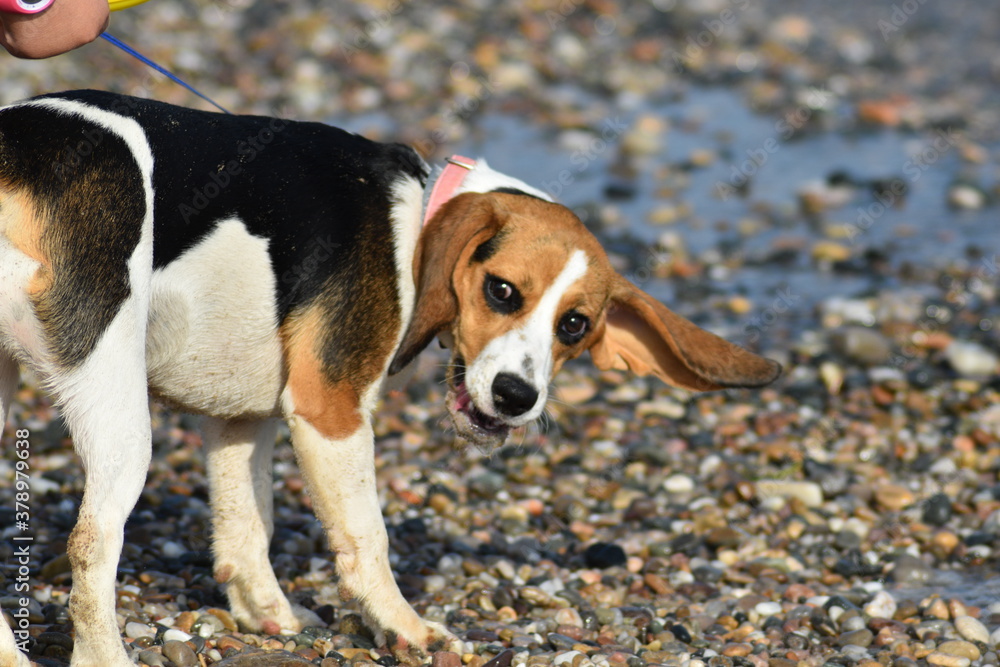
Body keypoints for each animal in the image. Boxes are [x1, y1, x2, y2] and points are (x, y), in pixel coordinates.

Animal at [0, 90, 780, 667]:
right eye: (502, 291)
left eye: (575, 326)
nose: (516, 398)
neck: (417, 219)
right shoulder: (330, 412)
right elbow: (366, 537)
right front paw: (404, 627)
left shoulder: (239, 420)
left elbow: (249, 526)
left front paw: (268, 613)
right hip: (118, 406)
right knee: (92, 545)